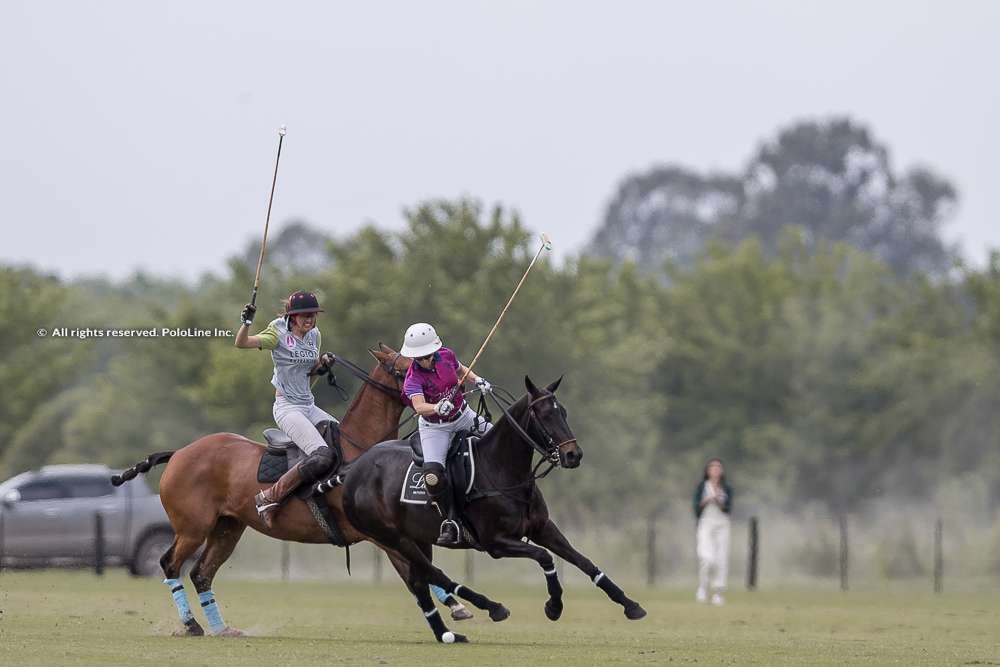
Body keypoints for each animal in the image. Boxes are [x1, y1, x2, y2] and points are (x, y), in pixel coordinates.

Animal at [340, 376, 644, 640]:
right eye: (544, 415)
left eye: (564, 413)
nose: (573, 455)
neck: (502, 469)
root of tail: (353, 470)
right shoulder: (496, 543)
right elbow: (545, 557)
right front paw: (554, 607)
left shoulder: (543, 527)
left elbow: (583, 561)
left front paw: (630, 604)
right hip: (392, 538)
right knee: (433, 574)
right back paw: (491, 608)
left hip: (416, 537)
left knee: (419, 581)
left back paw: (447, 634)